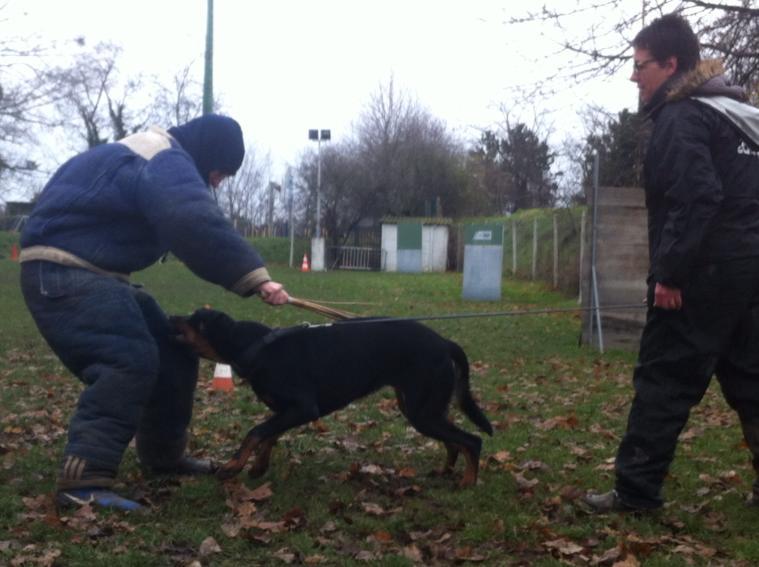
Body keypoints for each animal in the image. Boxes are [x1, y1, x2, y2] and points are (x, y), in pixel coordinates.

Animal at [171, 308, 492, 486]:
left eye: (194, 319)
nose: (172, 317)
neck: (256, 348)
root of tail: (445, 343)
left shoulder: (303, 407)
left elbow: (257, 431)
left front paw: (232, 466)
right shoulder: (286, 411)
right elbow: (269, 435)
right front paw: (258, 467)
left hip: (422, 411)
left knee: (472, 441)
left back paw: (467, 482)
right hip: (423, 408)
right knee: (454, 442)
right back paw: (444, 472)